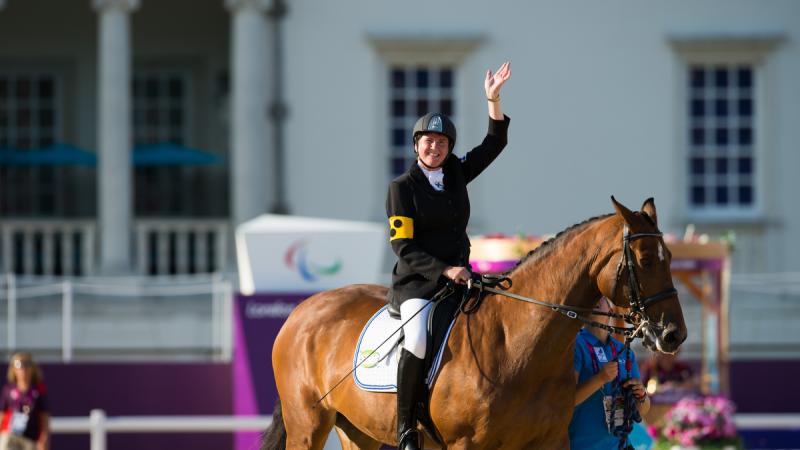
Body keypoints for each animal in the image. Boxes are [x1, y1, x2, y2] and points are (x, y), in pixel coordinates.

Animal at [262, 198, 688, 450]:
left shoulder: (550, 441)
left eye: (669, 258)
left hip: (357, 431)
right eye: (645, 260)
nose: (674, 335)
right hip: (308, 426)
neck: (518, 346)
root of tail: (302, 311)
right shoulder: (465, 445)